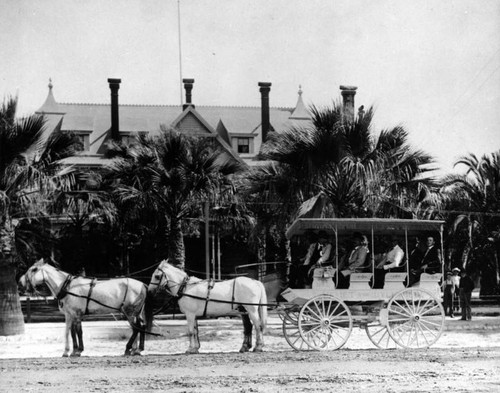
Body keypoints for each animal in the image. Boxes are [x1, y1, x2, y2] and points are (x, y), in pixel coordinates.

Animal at [18, 258, 152, 356]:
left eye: (34, 269)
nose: (20, 281)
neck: (67, 287)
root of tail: (143, 284)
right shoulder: (69, 315)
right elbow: (70, 332)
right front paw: (69, 351)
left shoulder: (77, 314)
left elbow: (78, 332)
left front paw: (78, 350)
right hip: (136, 313)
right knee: (141, 326)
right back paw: (137, 349)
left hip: (129, 312)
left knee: (136, 329)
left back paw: (128, 349)